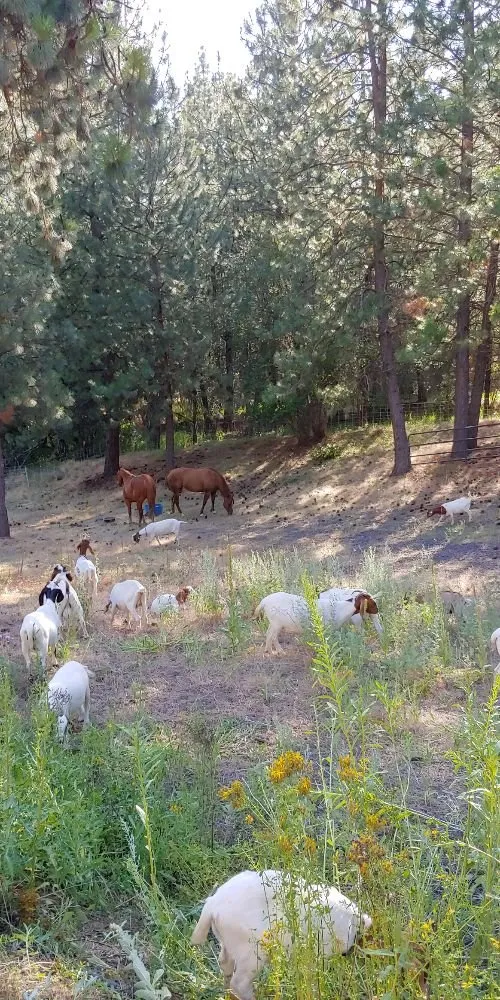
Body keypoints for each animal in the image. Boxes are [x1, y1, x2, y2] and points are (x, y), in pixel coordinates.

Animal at [191, 869, 372, 1000]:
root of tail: (212, 905)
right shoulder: (319, 952)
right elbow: (313, 977)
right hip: (252, 949)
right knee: (239, 982)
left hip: (228, 941)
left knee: (225, 963)